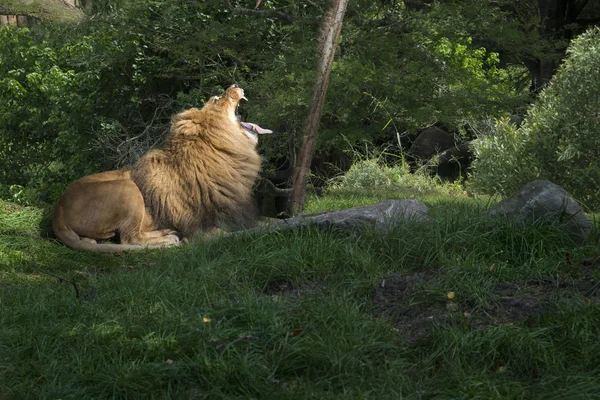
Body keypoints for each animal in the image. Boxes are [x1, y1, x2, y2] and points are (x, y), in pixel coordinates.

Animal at [51, 85, 268, 253]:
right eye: (216, 99)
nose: (235, 84)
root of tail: (58, 210)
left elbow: (266, 220)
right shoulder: (203, 226)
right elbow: (240, 233)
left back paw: (167, 232)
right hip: (127, 188)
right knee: (130, 239)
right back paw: (168, 239)